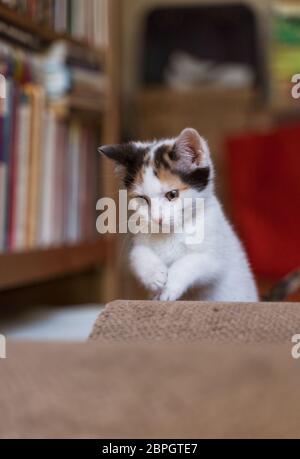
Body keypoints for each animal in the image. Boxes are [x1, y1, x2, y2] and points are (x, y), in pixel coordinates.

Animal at [99, 127, 258, 304]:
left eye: (172, 194)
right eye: (143, 199)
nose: (157, 219)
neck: (172, 232)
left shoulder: (215, 257)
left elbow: (191, 262)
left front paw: (170, 287)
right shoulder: (140, 237)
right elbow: (137, 254)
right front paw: (154, 275)